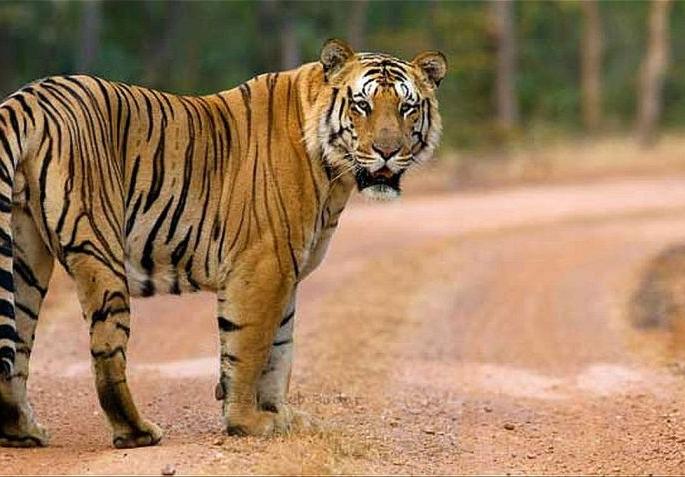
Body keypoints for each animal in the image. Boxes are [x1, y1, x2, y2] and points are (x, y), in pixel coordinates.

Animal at [0, 38, 446, 448]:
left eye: (407, 108)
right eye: (362, 105)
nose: (387, 152)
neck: (335, 175)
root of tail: (29, 98)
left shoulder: (287, 271)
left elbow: (280, 350)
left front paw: (282, 416)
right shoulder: (263, 266)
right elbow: (250, 348)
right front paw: (246, 422)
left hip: (25, 259)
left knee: (16, 346)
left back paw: (23, 432)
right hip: (100, 250)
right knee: (106, 354)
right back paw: (137, 433)